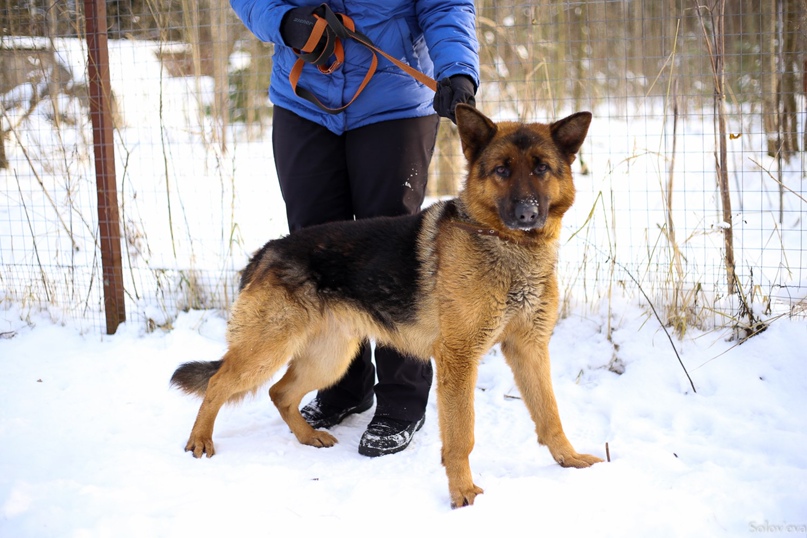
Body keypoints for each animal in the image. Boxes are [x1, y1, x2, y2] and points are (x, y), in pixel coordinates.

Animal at [170, 103, 600, 502]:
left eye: (542, 168)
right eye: (501, 170)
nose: (527, 213)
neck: (509, 247)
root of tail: (267, 251)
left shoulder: (529, 350)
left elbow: (550, 415)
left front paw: (569, 459)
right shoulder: (460, 359)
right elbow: (461, 435)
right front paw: (461, 490)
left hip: (329, 359)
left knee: (280, 393)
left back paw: (309, 436)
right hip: (267, 350)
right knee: (220, 383)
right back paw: (200, 440)